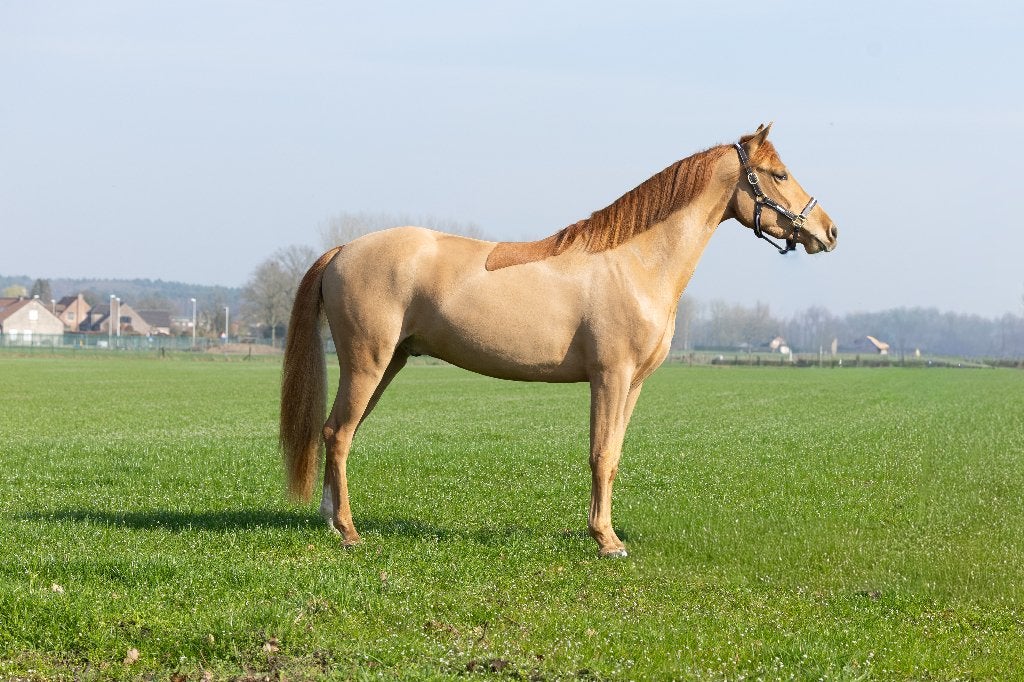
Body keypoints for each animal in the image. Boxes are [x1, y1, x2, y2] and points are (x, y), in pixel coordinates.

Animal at [280, 123, 838, 557]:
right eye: (779, 175)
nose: (829, 231)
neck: (635, 263)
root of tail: (343, 249)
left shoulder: (633, 385)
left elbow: (614, 455)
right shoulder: (610, 378)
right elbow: (601, 455)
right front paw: (607, 541)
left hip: (387, 364)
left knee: (337, 434)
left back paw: (331, 521)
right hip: (367, 364)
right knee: (338, 434)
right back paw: (349, 532)